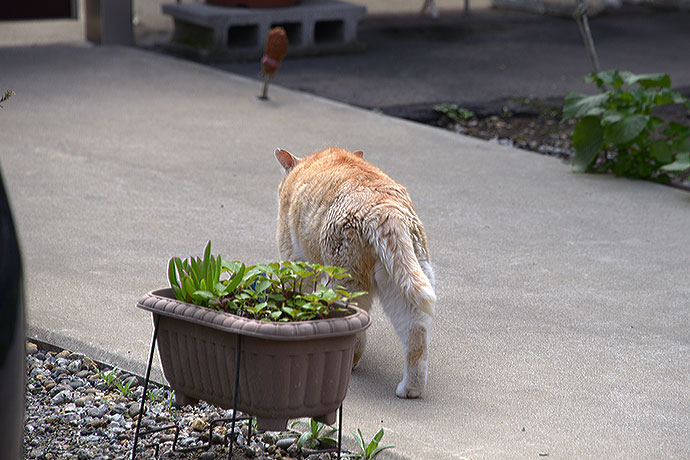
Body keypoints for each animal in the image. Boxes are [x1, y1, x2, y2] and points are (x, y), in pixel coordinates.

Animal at [272, 147, 432, 398]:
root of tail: (384, 209)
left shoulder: (295, 260)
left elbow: (297, 295)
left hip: (347, 284)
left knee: (356, 328)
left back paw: (349, 364)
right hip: (404, 286)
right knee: (416, 334)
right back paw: (410, 389)